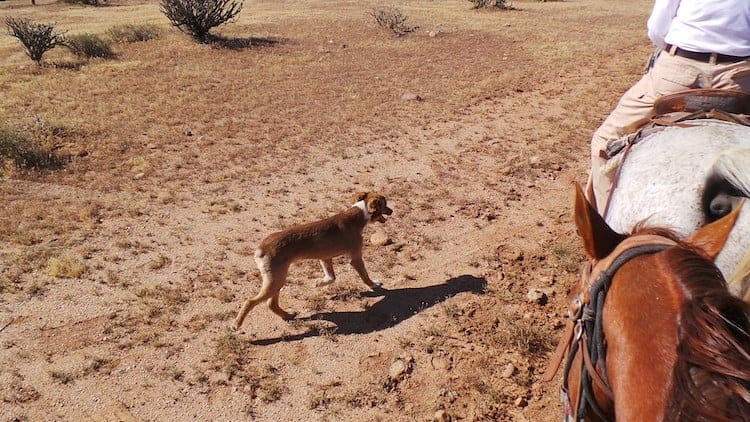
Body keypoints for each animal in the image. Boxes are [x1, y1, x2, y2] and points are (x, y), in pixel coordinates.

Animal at [235, 190, 394, 326]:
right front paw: (374, 284)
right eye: (385, 204)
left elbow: (331, 278)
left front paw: (318, 283)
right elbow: (365, 276)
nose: (392, 211)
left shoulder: (325, 258)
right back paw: (236, 324)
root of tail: (261, 248)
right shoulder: (355, 258)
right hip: (276, 279)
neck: (359, 214)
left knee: (271, 304)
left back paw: (288, 315)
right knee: (250, 301)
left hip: (277, 279)